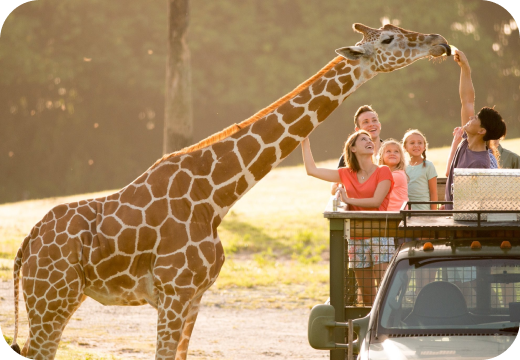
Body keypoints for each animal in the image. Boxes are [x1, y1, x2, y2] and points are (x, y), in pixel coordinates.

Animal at [10, 23, 448, 360]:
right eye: (388, 39)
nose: (439, 42)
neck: (214, 196)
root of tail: (25, 246)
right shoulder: (173, 294)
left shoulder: (193, 298)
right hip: (52, 298)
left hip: (55, 299)